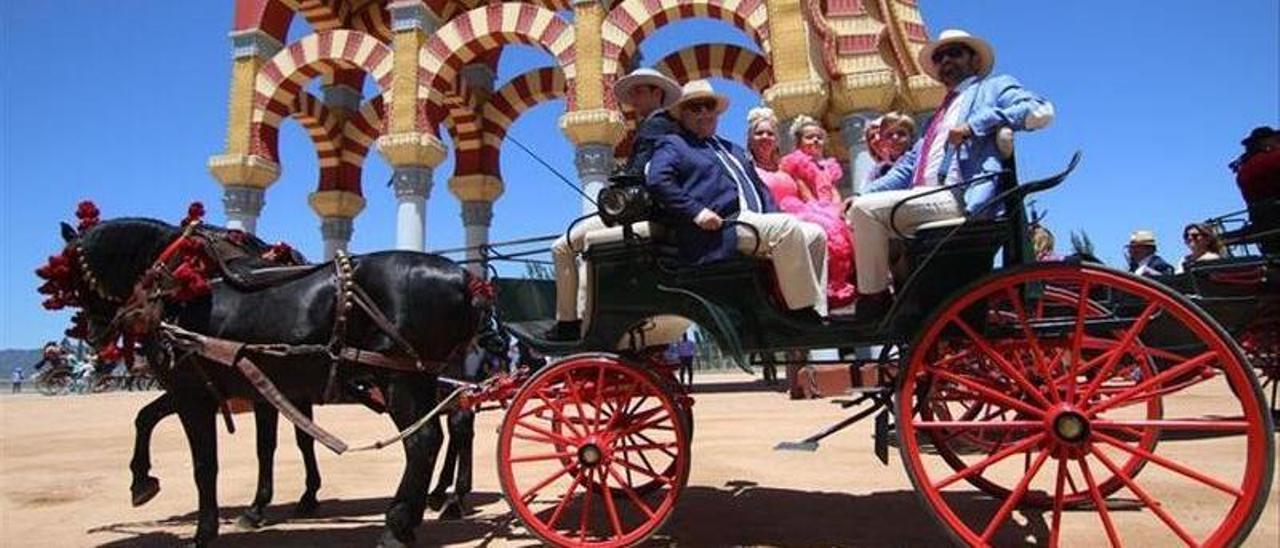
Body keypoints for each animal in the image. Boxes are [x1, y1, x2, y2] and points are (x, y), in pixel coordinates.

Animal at [55, 216, 486, 545]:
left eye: (73, 276)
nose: (94, 335)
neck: (179, 287)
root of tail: (464, 278)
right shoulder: (226, 388)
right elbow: (150, 419)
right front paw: (143, 482)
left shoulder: (192, 392)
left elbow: (205, 463)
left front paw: (206, 529)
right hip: (424, 376)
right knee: (448, 428)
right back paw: (431, 505)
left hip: (401, 378)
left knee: (425, 440)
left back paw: (401, 524)